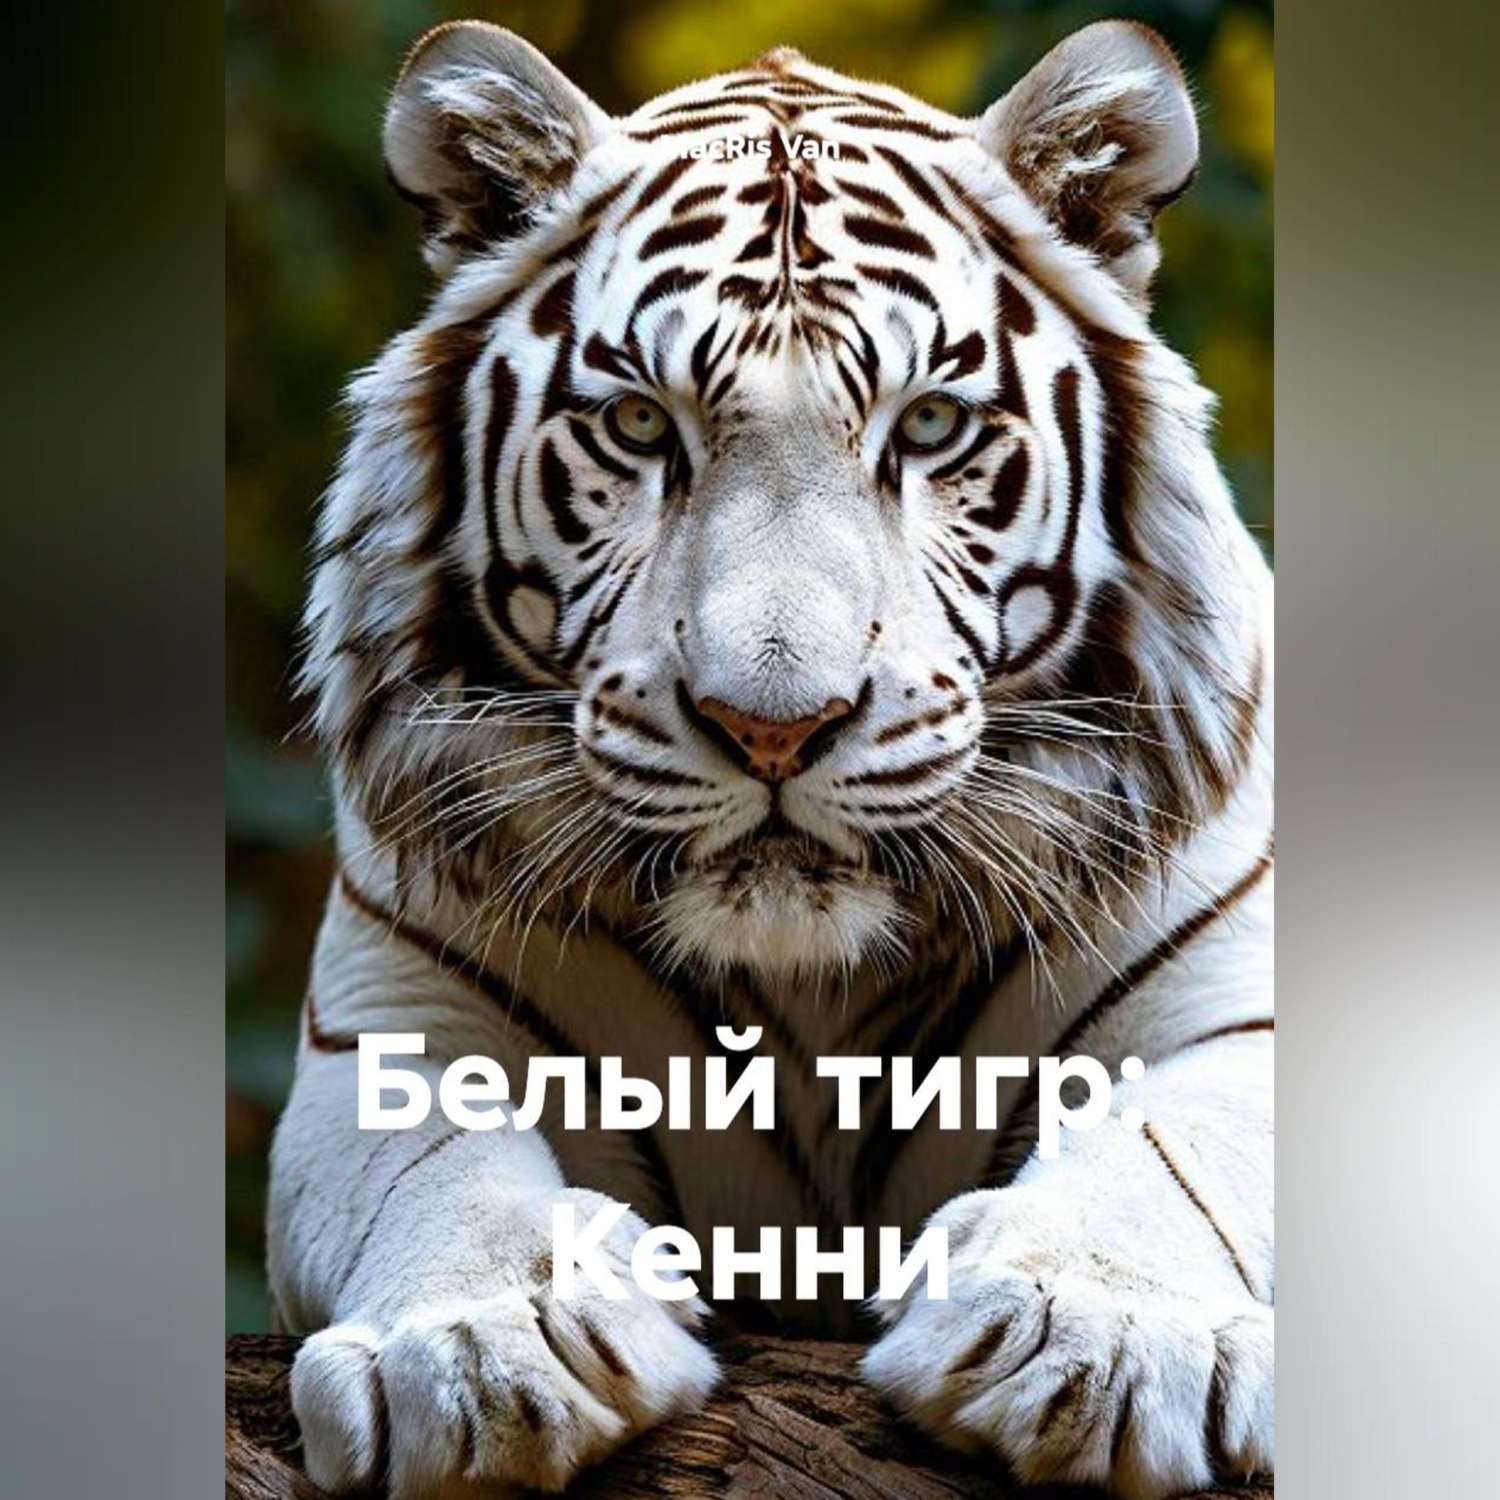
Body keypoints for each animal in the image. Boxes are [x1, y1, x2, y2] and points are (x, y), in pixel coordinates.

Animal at [268, 18, 1273, 1500]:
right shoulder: (392, 1022)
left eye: (930, 427)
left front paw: (1087, 1337)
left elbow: (1173, 1151)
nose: (775, 726)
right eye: (639, 427)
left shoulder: (1236, 1016)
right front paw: (479, 1350)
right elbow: (430, 1161)